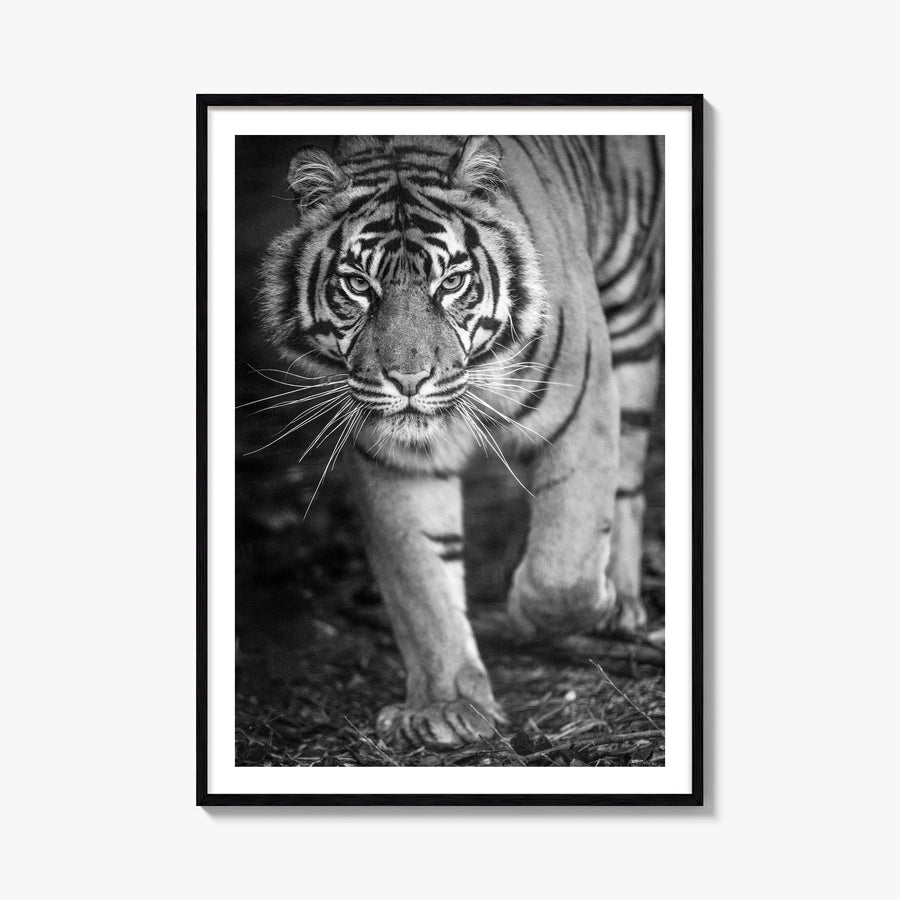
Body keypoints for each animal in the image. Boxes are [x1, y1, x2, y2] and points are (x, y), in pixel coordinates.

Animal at [259, 135, 663, 749]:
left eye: (451, 282)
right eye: (358, 284)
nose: (407, 381)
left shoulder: (583, 401)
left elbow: (562, 570)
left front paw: (574, 608)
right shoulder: (398, 460)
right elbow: (422, 582)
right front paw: (446, 706)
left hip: (632, 314)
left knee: (628, 484)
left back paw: (621, 601)